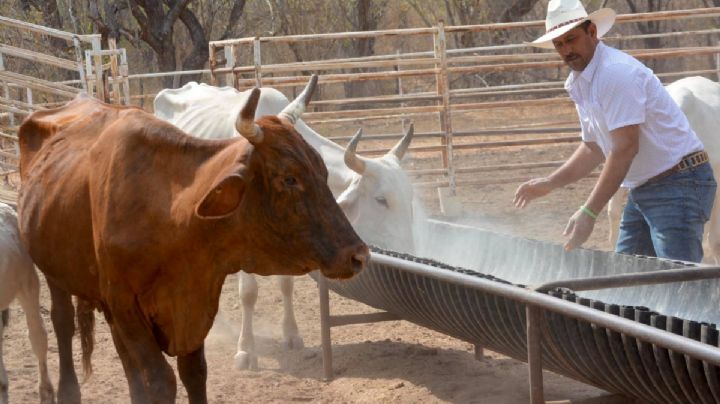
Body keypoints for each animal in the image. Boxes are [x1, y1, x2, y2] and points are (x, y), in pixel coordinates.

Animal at [16, 76, 368, 404]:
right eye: (289, 178)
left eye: (323, 172)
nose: (358, 255)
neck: (170, 212)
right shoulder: (125, 303)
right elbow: (160, 380)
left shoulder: (192, 302)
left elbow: (194, 373)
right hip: (55, 274)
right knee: (63, 324)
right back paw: (68, 390)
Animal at [155, 81, 420, 370]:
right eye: (381, 200)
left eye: (410, 196)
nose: (410, 250)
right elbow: (248, 293)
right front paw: (246, 350)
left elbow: (286, 285)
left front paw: (291, 334)